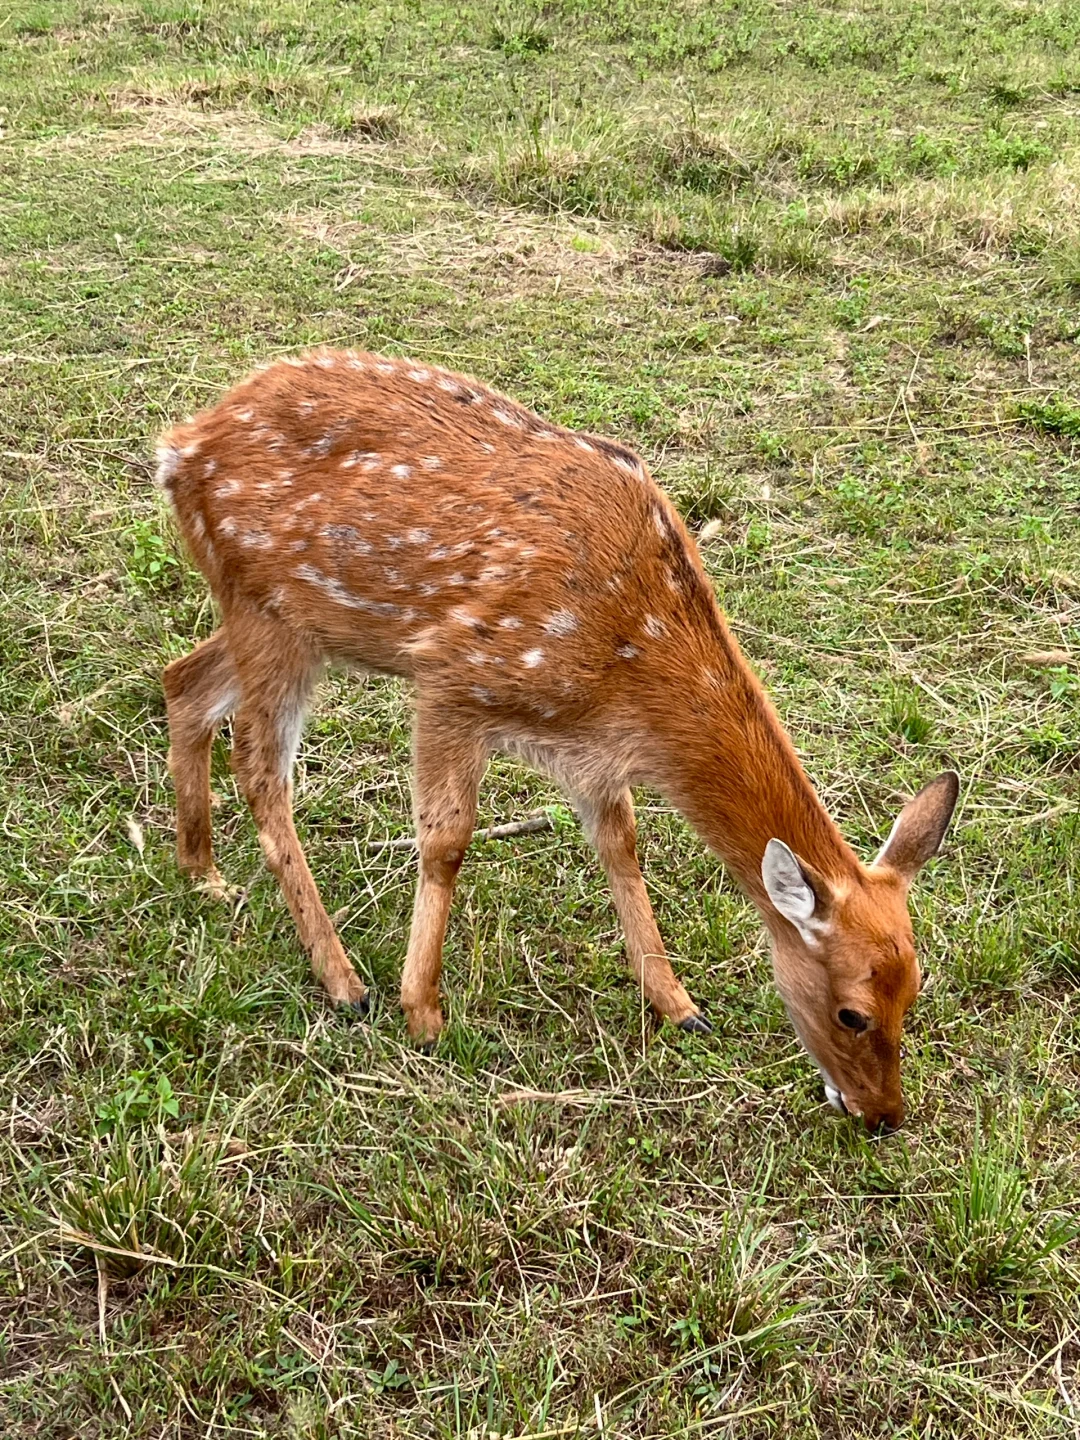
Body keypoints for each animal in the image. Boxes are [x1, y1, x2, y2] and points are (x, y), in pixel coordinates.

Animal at [156, 351, 961, 1134]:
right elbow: (447, 842)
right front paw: (423, 1013)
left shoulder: (590, 757)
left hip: (284, 620)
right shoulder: (452, 680)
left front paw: (678, 1004)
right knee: (260, 768)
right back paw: (342, 979)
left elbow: (622, 846)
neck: (630, 671)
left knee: (183, 680)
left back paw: (202, 872)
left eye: (916, 991)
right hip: (270, 608)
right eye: (851, 1013)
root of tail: (179, 446)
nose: (883, 1116)